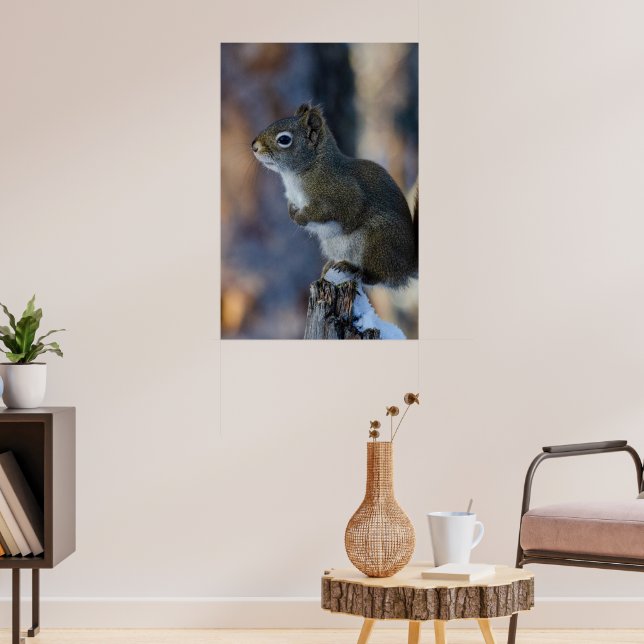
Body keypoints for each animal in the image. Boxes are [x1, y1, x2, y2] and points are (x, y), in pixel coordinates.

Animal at [251, 103, 417, 288]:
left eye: (284, 140)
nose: (254, 146)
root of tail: (407, 266)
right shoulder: (292, 197)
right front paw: (292, 214)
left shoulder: (343, 194)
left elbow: (331, 211)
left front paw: (301, 218)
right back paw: (333, 265)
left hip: (377, 241)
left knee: (380, 276)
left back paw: (356, 271)